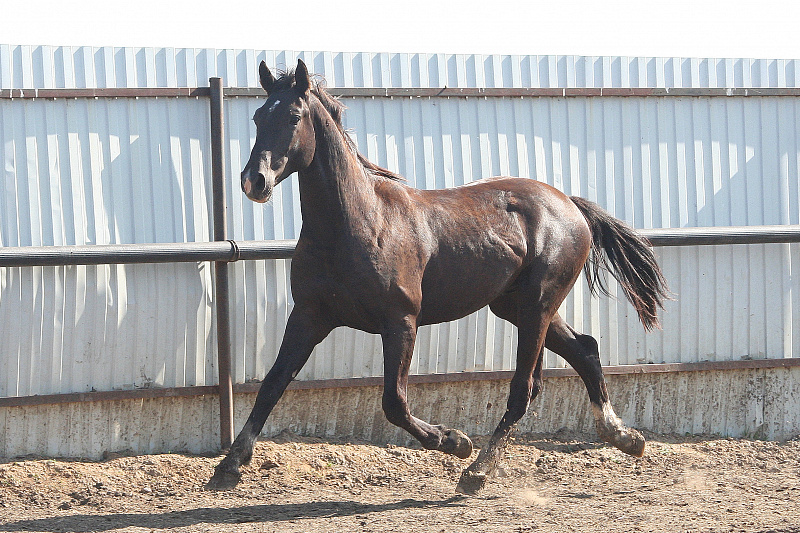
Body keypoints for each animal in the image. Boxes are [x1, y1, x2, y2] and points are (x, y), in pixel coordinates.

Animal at [207, 59, 669, 494]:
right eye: (257, 116)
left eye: (293, 116)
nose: (253, 181)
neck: (357, 223)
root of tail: (569, 204)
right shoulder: (309, 316)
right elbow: (272, 384)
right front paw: (229, 466)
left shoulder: (400, 322)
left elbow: (394, 402)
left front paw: (454, 440)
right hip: (517, 307)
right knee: (585, 350)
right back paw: (625, 437)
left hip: (538, 305)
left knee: (524, 388)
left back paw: (477, 470)